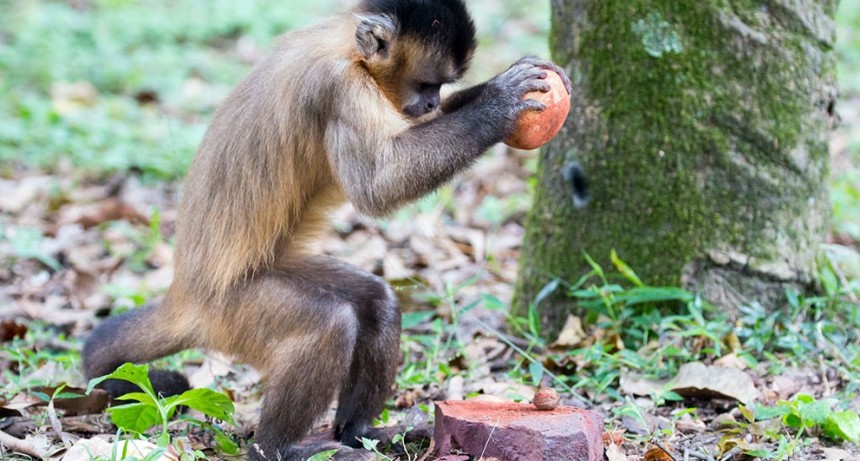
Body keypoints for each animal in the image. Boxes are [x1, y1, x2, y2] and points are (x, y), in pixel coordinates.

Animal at [82, 0, 570, 459]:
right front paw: (499, 103)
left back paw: (358, 433)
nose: (432, 103)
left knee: (376, 302)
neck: (346, 48)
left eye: (441, 88)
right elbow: (378, 185)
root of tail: (184, 295)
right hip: (231, 314)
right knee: (329, 325)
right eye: (427, 83)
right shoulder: (339, 87)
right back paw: (275, 449)